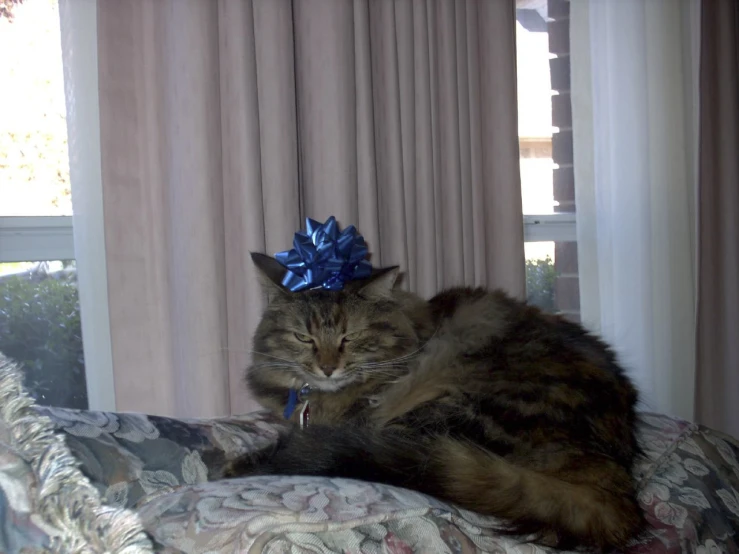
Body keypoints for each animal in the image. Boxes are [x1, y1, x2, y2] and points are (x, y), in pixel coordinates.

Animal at [227, 252, 648, 548]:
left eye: (351, 337)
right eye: (304, 338)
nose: (328, 368)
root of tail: (614, 477)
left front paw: (233, 463)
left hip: (455, 407)